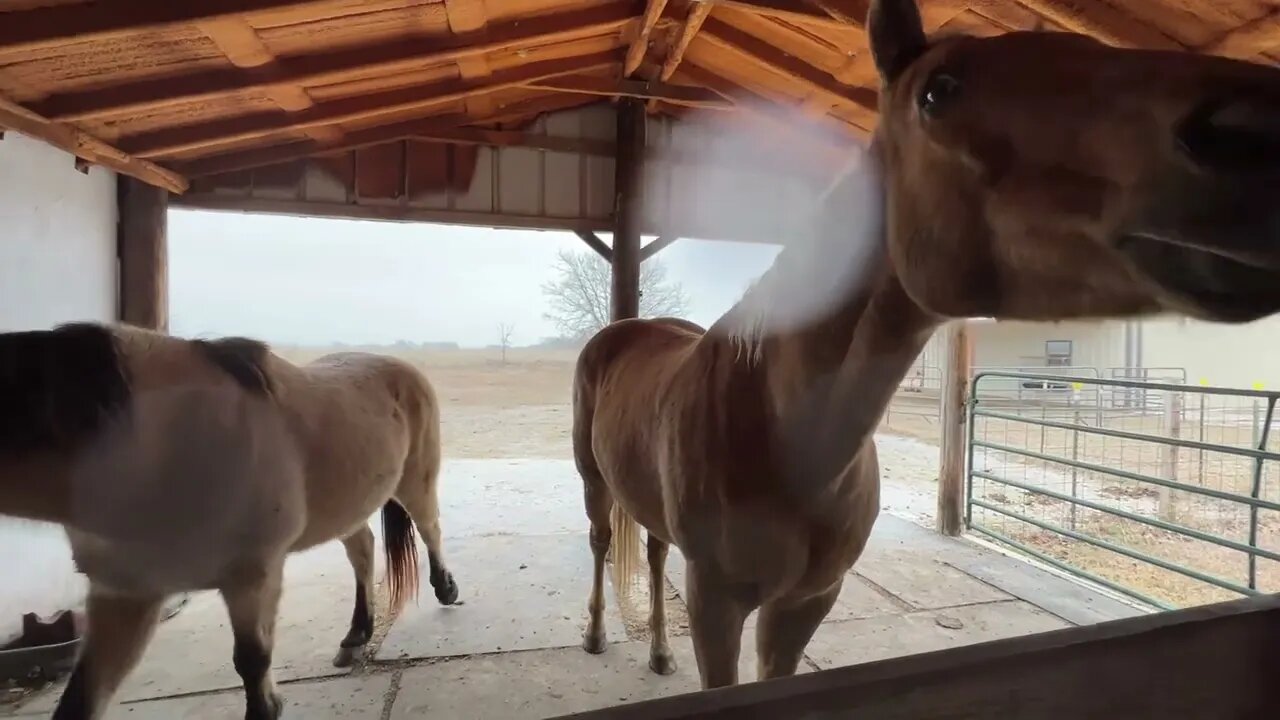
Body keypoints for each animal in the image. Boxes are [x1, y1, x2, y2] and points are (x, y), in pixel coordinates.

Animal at [0, 324, 460, 717]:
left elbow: (252, 662)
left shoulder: (251, 575)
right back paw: (357, 634)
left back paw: (445, 589)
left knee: (430, 528)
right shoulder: (124, 594)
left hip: (416, 482)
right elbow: (80, 698)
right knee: (362, 550)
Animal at [576, 0, 1280, 686]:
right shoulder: (716, 605)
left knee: (654, 551)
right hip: (597, 486)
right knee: (604, 543)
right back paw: (595, 635)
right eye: (938, 92)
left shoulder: (805, 602)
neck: (783, 436)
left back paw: (659, 652)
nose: (1253, 127)